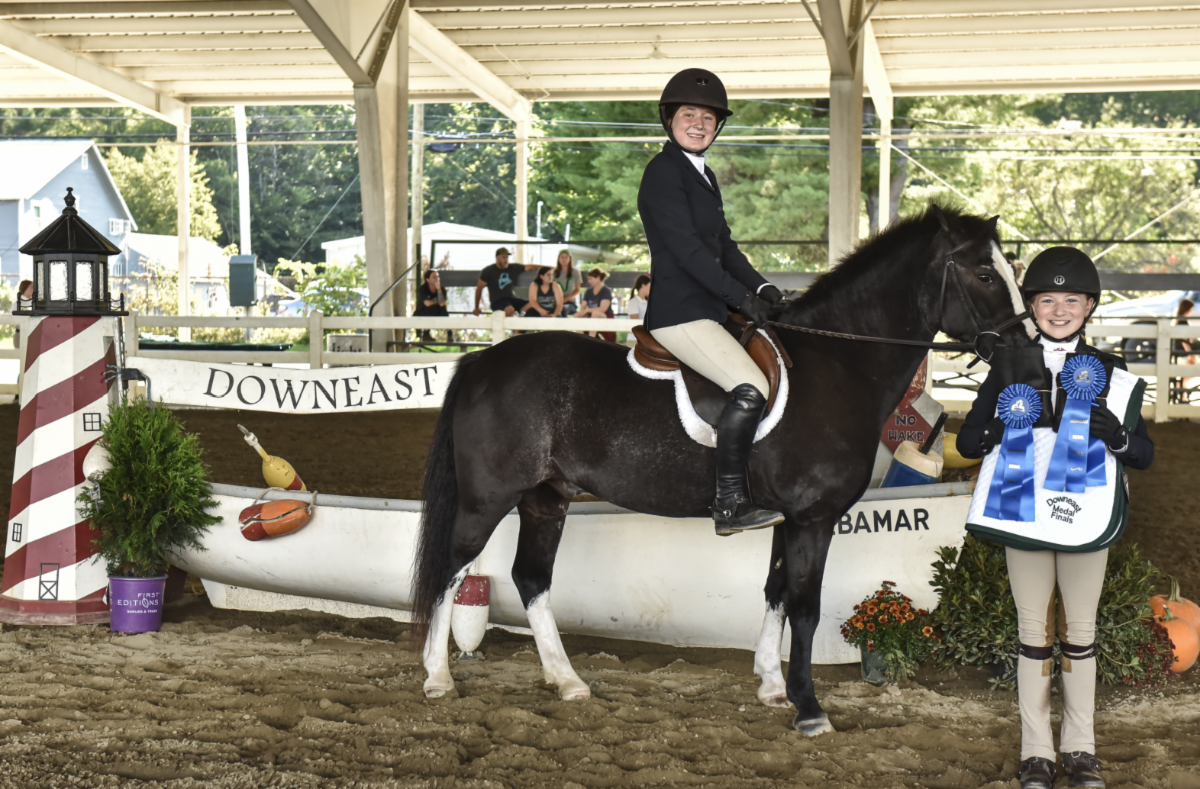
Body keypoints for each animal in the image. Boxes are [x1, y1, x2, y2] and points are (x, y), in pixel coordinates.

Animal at [410, 204, 1033, 734]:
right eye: (985, 273)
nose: (1025, 353)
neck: (837, 365)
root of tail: (481, 361)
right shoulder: (814, 518)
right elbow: (806, 608)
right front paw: (809, 708)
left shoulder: (787, 519)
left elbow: (775, 591)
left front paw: (772, 686)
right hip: (488, 499)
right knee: (452, 568)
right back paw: (438, 678)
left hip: (545, 499)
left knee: (531, 579)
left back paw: (567, 681)